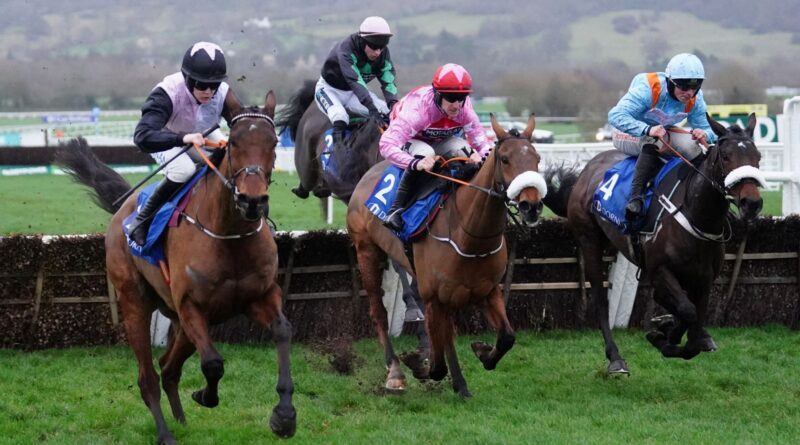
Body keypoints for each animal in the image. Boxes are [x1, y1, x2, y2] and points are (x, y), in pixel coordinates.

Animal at [54, 92, 296, 442]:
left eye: (274, 141)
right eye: (234, 142)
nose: (252, 201)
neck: (228, 235)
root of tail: (124, 210)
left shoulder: (259, 295)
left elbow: (282, 331)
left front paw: (284, 416)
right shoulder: (192, 305)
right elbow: (213, 363)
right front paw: (206, 395)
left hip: (179, 320)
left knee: (168, 367)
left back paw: (180, 419)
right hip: (136, 304)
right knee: (148, 376)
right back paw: (165, 432)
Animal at [346, 113, 548, 396]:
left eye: (537, 158)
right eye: (505, 159)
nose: (532, 206)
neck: (470, 235)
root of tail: (370, 173)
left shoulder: (486, 290)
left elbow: (507, 337)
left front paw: (482, 352)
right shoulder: (434, 297)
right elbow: (437, 365)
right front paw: (418, 364)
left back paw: (460, 384)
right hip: (366, 251)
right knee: (379, 312)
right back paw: (395, 371)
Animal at [544, 113, 764, 374]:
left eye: (758, 156)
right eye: (726, 156)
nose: (752, 203)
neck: (695, 215)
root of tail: (587, 170)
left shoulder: (703, 280)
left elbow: (693, 332)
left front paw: (669, 331)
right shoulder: (661, 271)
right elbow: (687, 312)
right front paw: (663, 338)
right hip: (589, 241)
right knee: (600, 301)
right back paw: (615, 358)